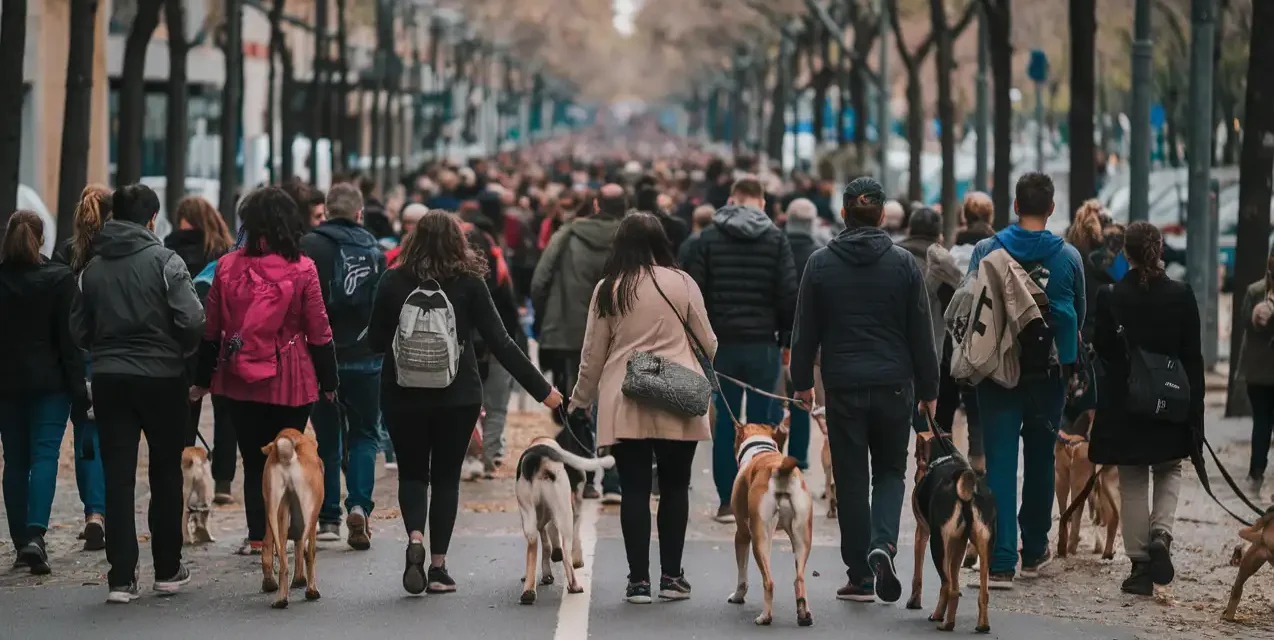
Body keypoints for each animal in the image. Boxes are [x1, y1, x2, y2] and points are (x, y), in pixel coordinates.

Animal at [258, 428, 323, 606]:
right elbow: (307, 550)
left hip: (274, 512)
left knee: (280, 557)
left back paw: (280, 597)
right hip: (311, 513)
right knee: (308, 553)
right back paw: (311, 590)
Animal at [517, 428, 616, 606]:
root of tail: (539, 455)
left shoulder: (542, 519)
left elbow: (546, 545)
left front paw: (545, 573)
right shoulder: (575, 508)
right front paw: (577, 559)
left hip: (529, 514)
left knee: (533, 547)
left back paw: (528, 591)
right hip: (564, 514)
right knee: (566, 554)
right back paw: (574, 585)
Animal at [723, 423, 810, 627]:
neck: (760, 450)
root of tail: (780, 469)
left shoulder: (742, 535)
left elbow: (742, 576)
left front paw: (738, 596)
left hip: (760, 540)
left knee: (769, 582)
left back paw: (765, 617)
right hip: (802, 540)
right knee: (799, 579)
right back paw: (804, 615)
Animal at [907, 428, 993, 632]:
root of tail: (966, 487)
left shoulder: (922, 533)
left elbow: (917, 575)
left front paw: (914, 602)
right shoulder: (959, 542)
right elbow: (954, 573)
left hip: (937, 544)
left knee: (949, 587)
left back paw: (943, 620)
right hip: (984, 543)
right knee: (981, 592)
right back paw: (982, 625)